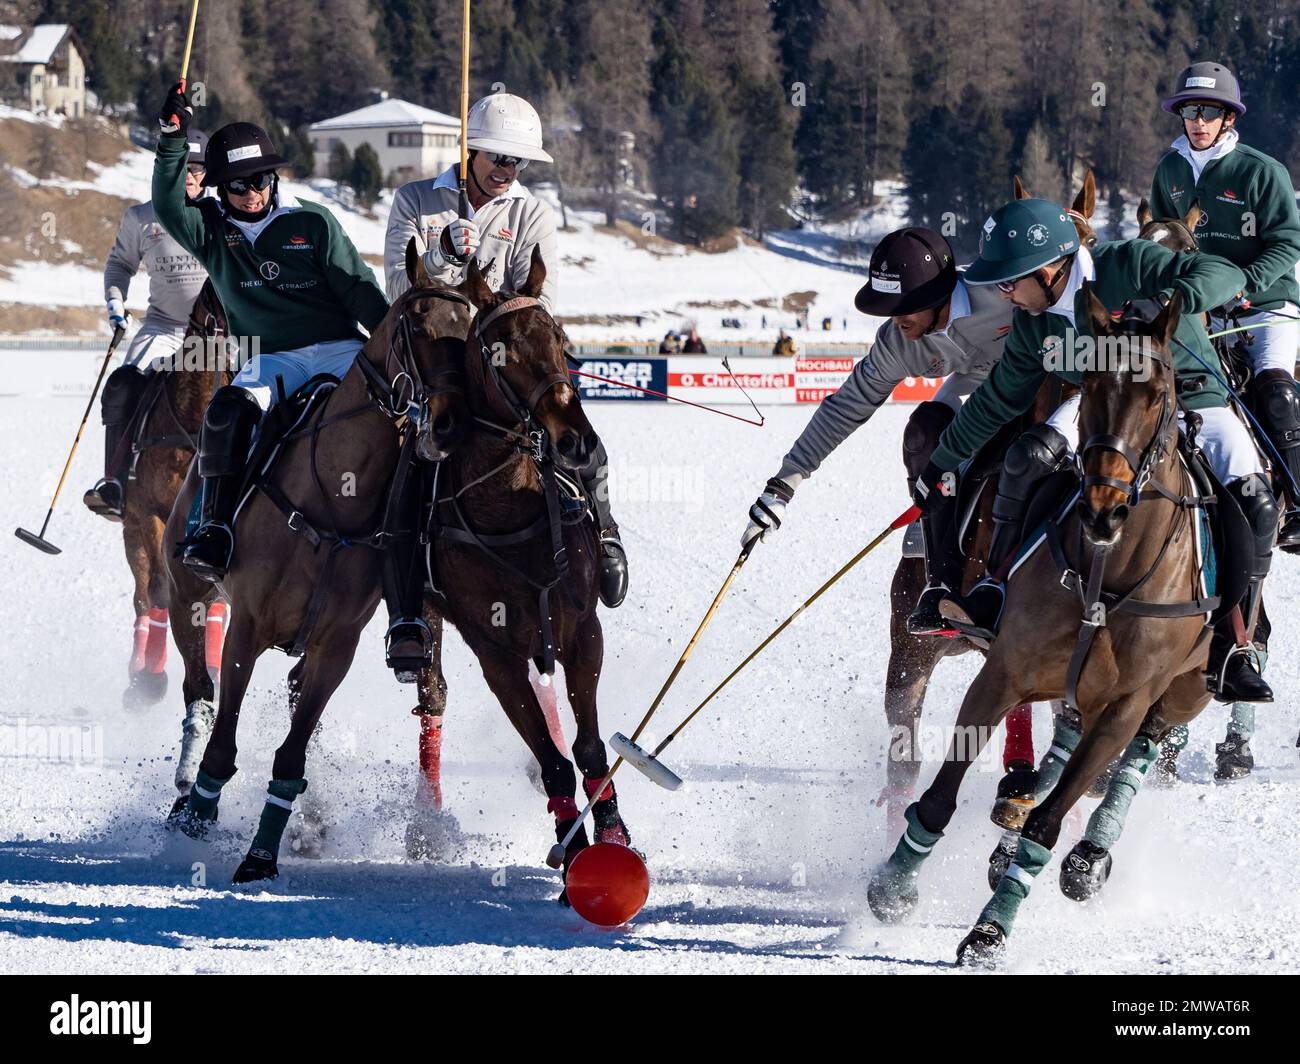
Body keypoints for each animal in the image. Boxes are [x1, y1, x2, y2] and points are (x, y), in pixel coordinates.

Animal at [119, 282, 231, 712]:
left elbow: (215, 600)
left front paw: (213, 666)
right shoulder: (153, 515)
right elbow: (159, 592)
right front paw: (152, 679)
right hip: (132, 528)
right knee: (143, 594)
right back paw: (140, 672)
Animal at [163, 247, 473, 879]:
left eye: (472, 331)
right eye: (418, 325)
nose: (452, 424)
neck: (331, 493)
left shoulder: (337, 646)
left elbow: (292, 754)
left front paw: (261, 855)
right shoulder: (247, 626)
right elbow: (224, 743)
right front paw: (198, 823)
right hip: (187, 593)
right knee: (197, 687)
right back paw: (184, 791)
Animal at [423, 244, 631, 884]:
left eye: (562, 339)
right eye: (501, 351)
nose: (576, 442)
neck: (508, 512)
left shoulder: (583, 631)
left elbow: (588, 747)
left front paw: (612, 835)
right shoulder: (496, 654)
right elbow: (553, 761)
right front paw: (574, 852)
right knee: (431, 698)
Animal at [873, 288, 1216, 962]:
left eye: (1159, 393)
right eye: (1093, 384)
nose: (1104, 508)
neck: (1107, 575)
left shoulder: (1123, 707)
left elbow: (1049, 822)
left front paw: (989, 931)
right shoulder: (1005, 670)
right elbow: (941, 797)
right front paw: (894, 887)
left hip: (1186, 689)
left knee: (1140, 752)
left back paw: (1087, 856)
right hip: (923, 634)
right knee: (911, 716)